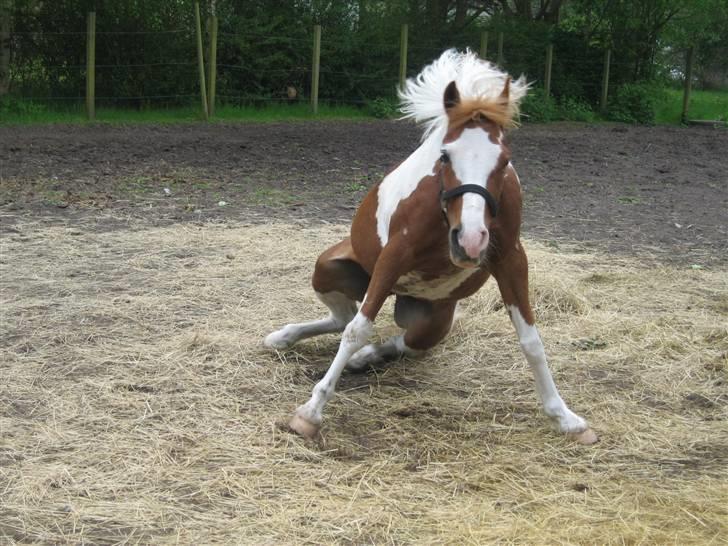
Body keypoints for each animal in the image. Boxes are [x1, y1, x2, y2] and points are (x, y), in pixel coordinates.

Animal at [264, 49, 596, 444]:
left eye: (504, 160)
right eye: (445, 156)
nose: (469, 239)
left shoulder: (511, 259)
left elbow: (531, 340)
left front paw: (565, 417)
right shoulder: (394, 255)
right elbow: (356, 330)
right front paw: (310, 413)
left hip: (434, 322)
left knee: (401, 340)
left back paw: (360, 357)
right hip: (331, 268)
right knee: (346, 318)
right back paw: (283, 337)